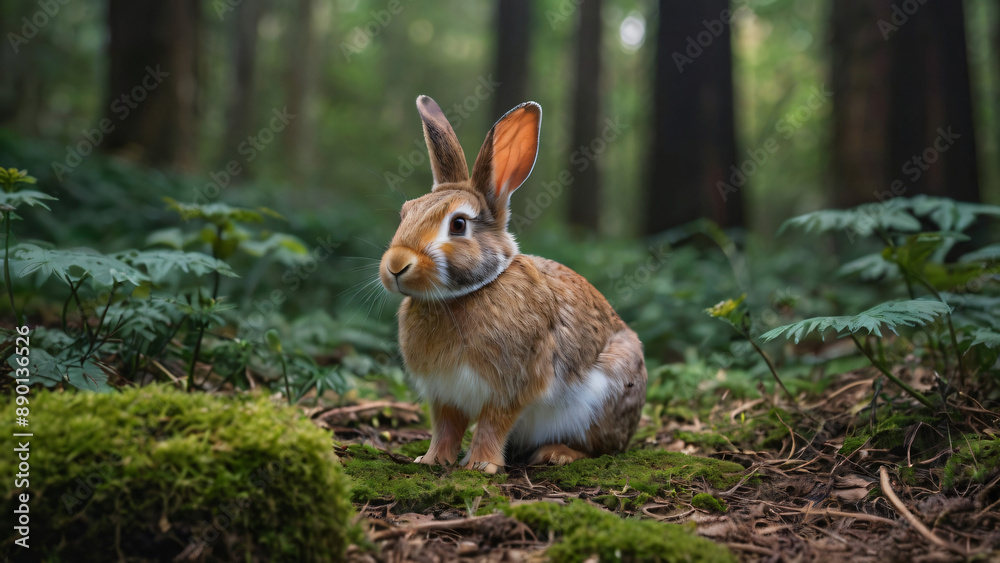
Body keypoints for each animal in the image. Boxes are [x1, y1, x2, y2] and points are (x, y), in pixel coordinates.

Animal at [379, 95, 647, 474]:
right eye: (405, 213)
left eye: (458, 224)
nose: (396, 265)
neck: (466, 294)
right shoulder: (444, 393)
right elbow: (446, 426)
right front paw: (432, 460)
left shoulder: (510, 386)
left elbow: (493, 424)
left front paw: (481, 466)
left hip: (603, 398)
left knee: (599, 447)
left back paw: (557, 454)